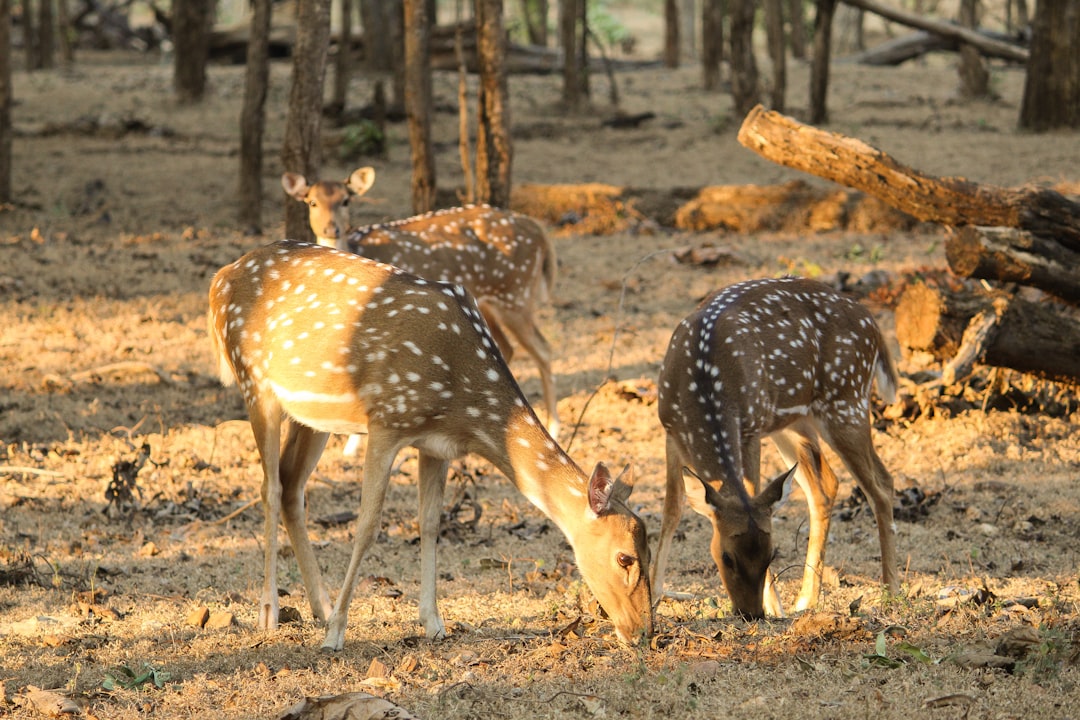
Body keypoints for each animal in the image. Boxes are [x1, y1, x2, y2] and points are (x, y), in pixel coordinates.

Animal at [208, 239, 648, 651]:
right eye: (624, 556)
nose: (643, 631)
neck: (462, 401)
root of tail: (220, 278)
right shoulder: (386, 421)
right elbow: (367, 525)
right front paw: (336, 635)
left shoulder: (437, 445)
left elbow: (431, 522)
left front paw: (434, 623)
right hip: (255, 383)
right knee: (269, 487)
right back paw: (271, 611)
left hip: (313, 415)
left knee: (291, 485)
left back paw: (321, 605)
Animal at [282, 167, 561, 451]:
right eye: (312, 201)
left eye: (346, 200)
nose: (332, 228)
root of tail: (539, 230)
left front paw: (352, 447)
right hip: (491, 302)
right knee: (508, 347)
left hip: (516, 294)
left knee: (543, 348)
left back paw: (554, 427)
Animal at [648, 276, 902, 621]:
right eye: (726, 557)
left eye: (771, 555)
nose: (751, 613)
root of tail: (874, 324)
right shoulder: (670, 430)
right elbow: (672, 510)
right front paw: (651, 599)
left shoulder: (751, 426)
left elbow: (750, 490)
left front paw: (774, 605)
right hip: (795, 422)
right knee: (826, 486)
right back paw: (806, 600)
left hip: (846, 401)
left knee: (881, 484)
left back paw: (891, 593)